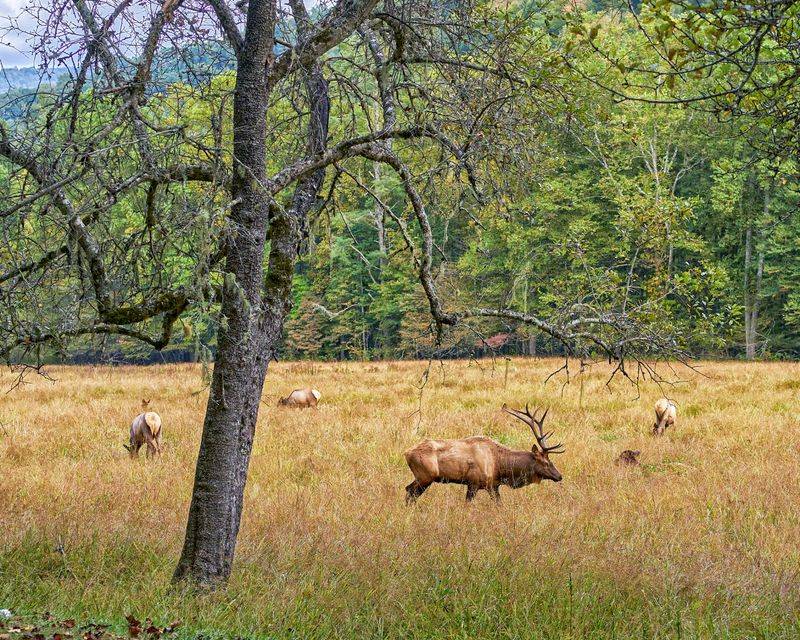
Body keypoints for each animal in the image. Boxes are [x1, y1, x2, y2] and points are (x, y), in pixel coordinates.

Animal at [403, 404, 565, 504]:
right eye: (546, 462)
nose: (559, 476)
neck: (500, 466)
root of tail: (406, 453)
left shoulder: (493, 485)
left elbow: (499, 505)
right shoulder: (473, 483)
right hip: (425, 476)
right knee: (410, 491)